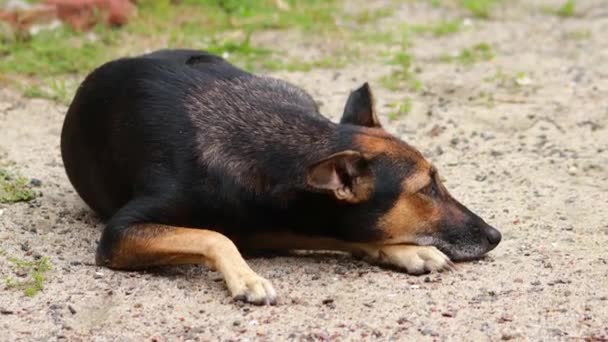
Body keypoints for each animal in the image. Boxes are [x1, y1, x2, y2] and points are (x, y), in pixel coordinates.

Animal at [59, 48, 502, 304]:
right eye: (426, 188)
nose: (495, 235)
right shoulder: (120, 233)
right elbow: (213, 235)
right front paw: (246, 278)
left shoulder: (276, 224)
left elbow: (343, 234)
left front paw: (405, 250)